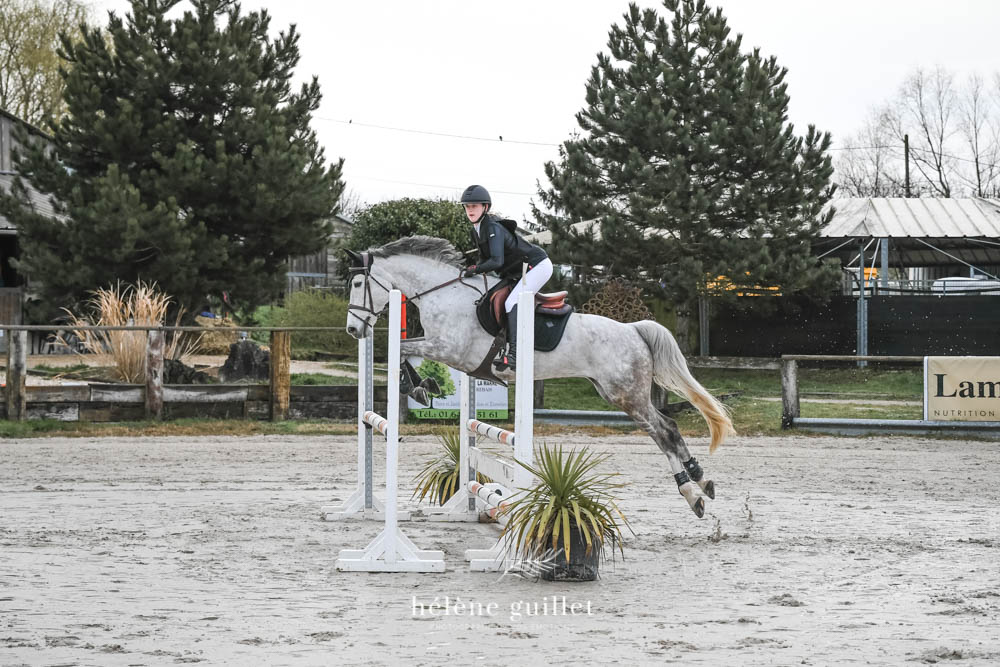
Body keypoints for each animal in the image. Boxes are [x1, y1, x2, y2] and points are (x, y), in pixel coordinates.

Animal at [346, 237, 736, 520]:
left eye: (357, 283)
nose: (353, 330)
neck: (444, 293)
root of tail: (632, 329)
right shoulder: (446, 350)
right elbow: (403, 351)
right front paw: (423, 387)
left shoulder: (449, 348)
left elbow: (401, 348)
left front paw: (420, 388)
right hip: (617, 392)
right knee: (667, 428)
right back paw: (702, 480)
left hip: (626, 394)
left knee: (663, 430)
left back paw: (692, 493)